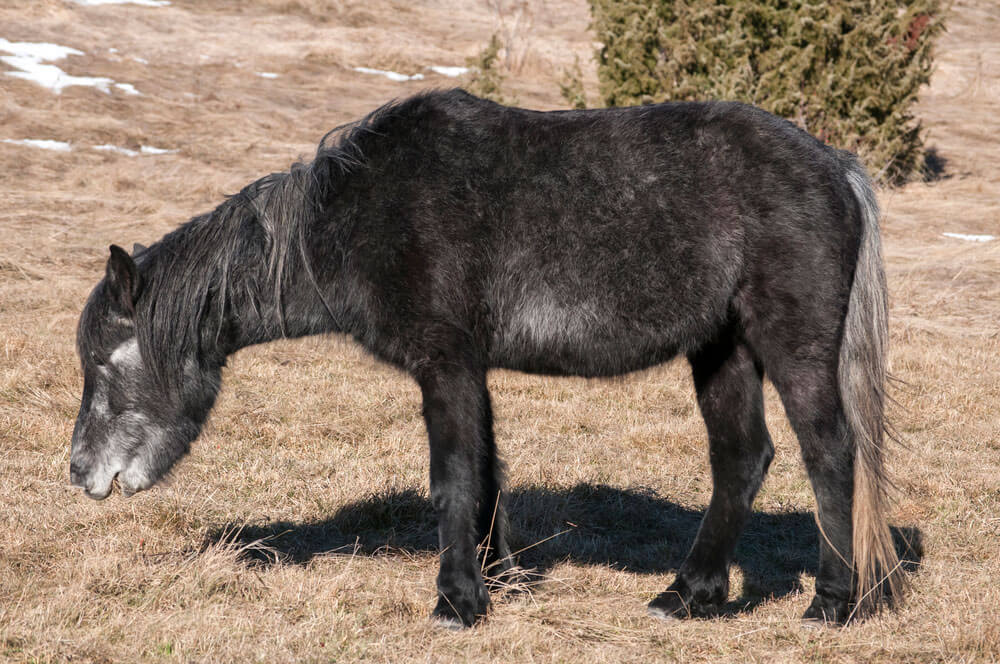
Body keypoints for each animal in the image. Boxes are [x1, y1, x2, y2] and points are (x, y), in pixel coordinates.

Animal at [66, 88, 904, 628]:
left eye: (104, 362)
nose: (80, 472)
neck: (356, 215)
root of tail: (834, 165)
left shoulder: (446, 364)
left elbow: (454, 477)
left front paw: (457, 602)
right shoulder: (472, 371)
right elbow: (489, 473)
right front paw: (498, 578)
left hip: (791, 345)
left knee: (830, 454)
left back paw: (832, 602)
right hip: (721, 349)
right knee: (741, 459)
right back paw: (689, 594)